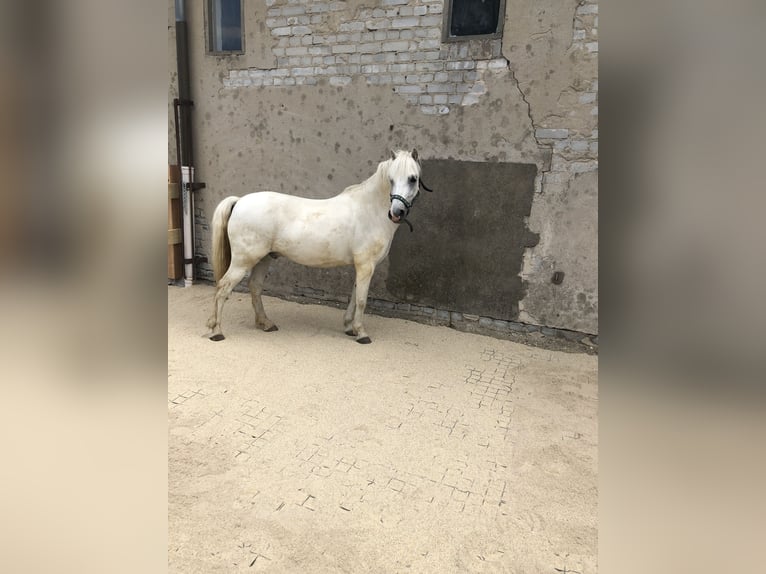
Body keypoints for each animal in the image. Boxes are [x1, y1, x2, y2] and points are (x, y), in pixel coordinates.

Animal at [206, 151, 426, 344]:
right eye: (391, 179)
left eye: (412, 179)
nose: (396, 212)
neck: (370, 210)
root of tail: (239, 201)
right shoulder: (366, 265)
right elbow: (362, 300)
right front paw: (361, 333)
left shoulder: (361, 266)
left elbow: (354, 297)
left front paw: (349, 328)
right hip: (243, 261)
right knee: (223, 288)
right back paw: (216, 331)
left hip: (264, 258)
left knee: (255, 287)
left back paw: (266, 324)